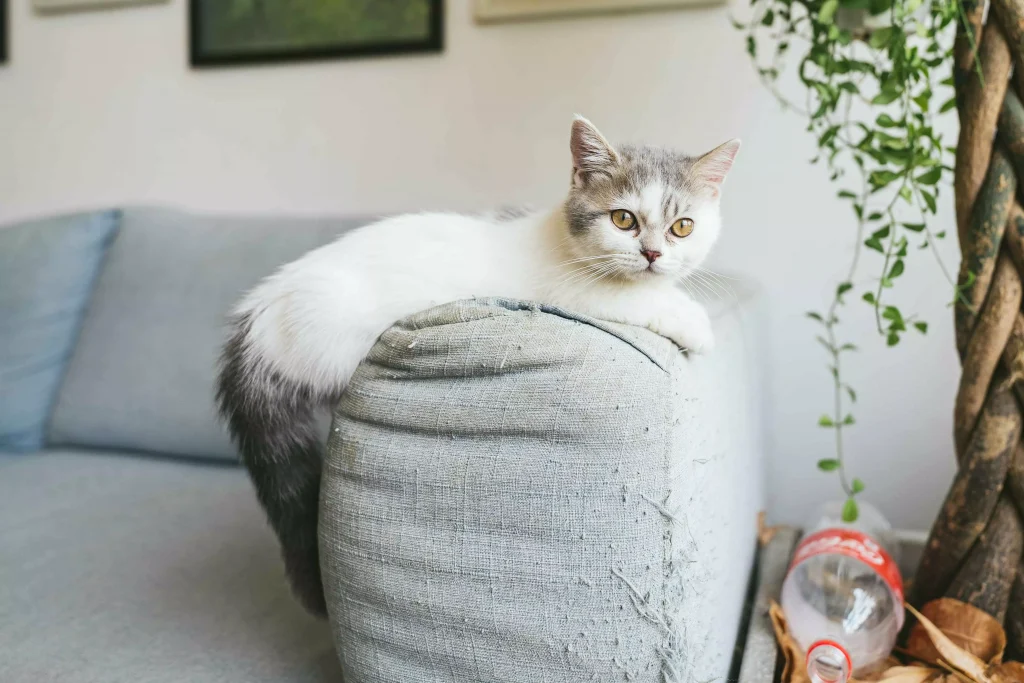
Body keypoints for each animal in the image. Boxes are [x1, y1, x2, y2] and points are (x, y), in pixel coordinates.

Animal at [220, 116, 741, 614]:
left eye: (682, 227)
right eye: (623, 219)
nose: (652, 254)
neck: (561, 240)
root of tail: (259, 313)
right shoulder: (572, 291)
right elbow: (634, 299)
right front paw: (695, 322)